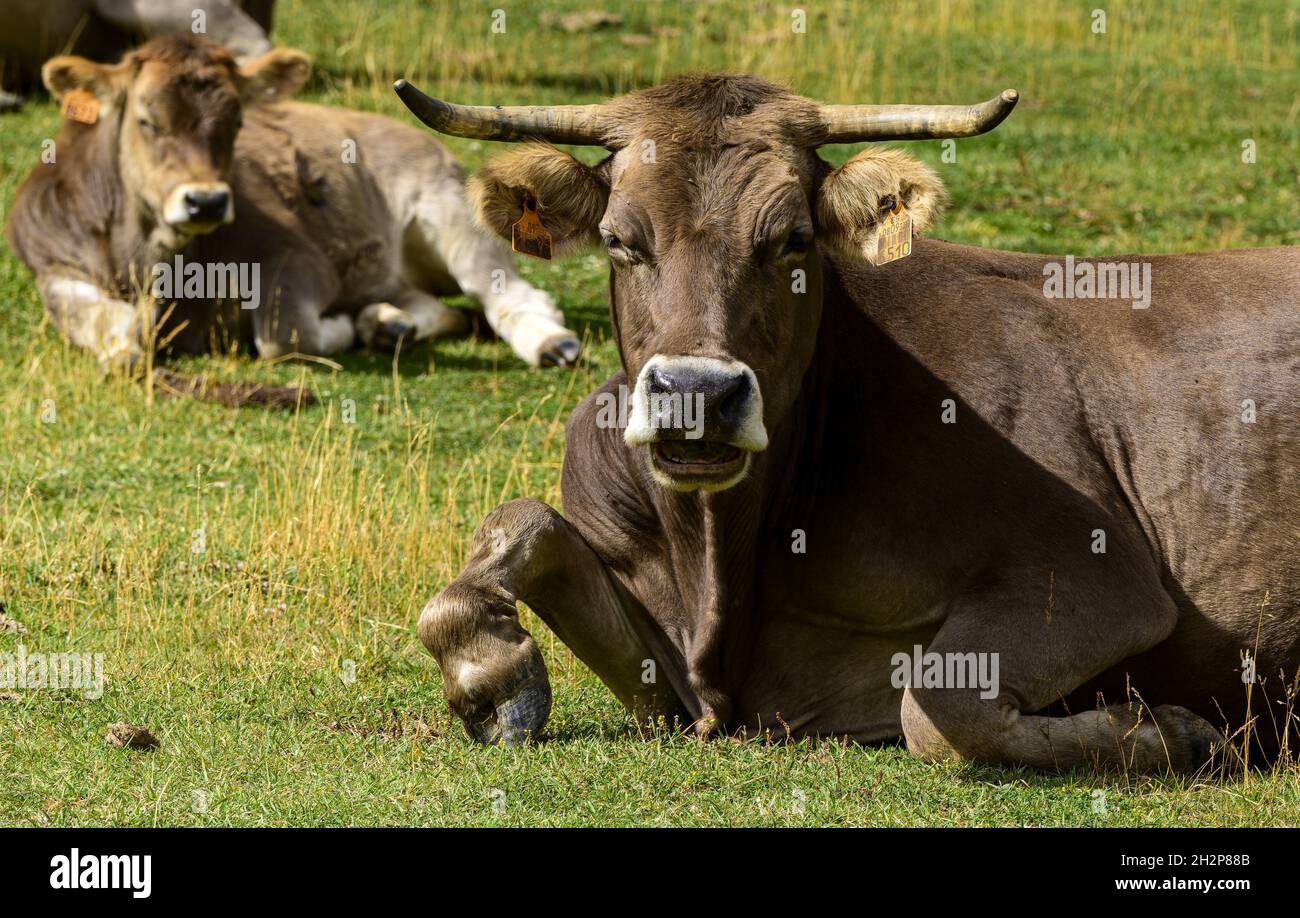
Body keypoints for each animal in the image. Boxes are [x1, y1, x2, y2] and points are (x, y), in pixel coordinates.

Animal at [5, 35, 581, 372]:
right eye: (147, 120)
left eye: (238, 120)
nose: (206, 202)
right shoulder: (54, 268)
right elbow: (118, 334)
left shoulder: (295, 257)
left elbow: (283, 335)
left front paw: (340, 329)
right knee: (431, 304)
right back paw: (387, 323)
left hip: (448, 211)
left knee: (510, 296)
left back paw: (552, 344)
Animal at [396, 74, 1299, 773]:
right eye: (620, 240)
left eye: (793, 238)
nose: (695, 393)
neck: (720, 569)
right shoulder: (674, 683)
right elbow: (518, 523)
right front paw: (491, 672)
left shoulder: (1096, 573)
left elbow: (936, 708)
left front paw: (1177, 733)